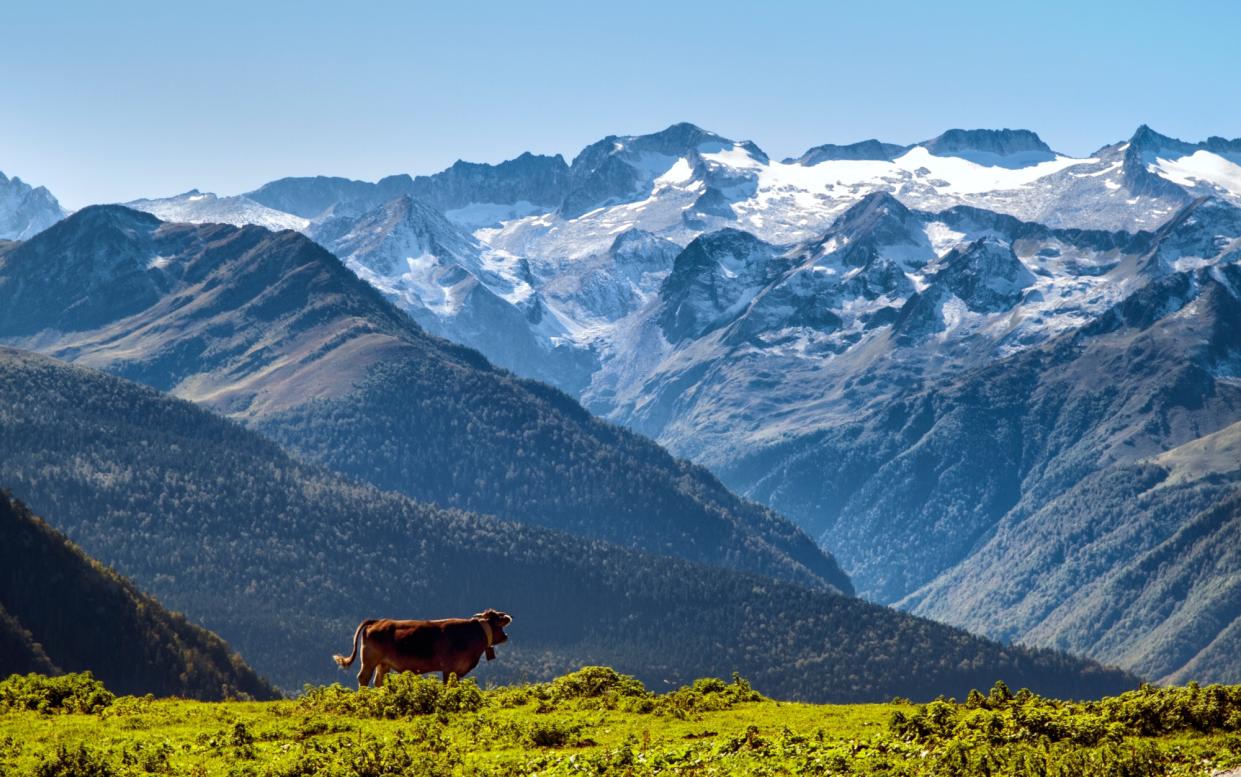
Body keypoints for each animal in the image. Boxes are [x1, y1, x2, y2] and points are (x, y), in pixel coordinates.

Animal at [332, 605, 511, 685]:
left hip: (383, 663)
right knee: (363, 678)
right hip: (369, 660)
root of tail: (378, 621)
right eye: (499, 622)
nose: (506, 636)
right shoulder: (449, 668)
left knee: (378, 680)